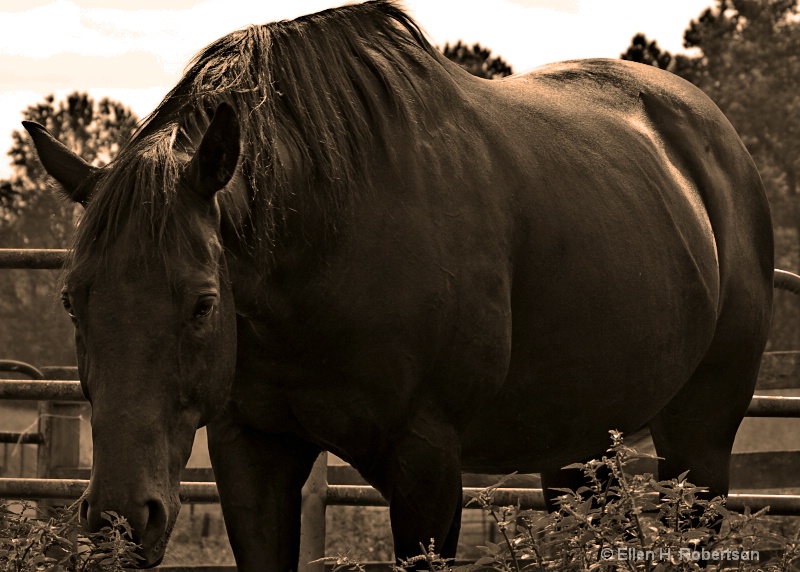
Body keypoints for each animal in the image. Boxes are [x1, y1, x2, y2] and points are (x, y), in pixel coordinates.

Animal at [26, 2, 776, 568]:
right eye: (72, 302)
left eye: (203, 303)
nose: (120, 521)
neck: (331, 241)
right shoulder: (251, 452)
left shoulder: (428, 466)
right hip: (580, 445)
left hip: (700, 441)